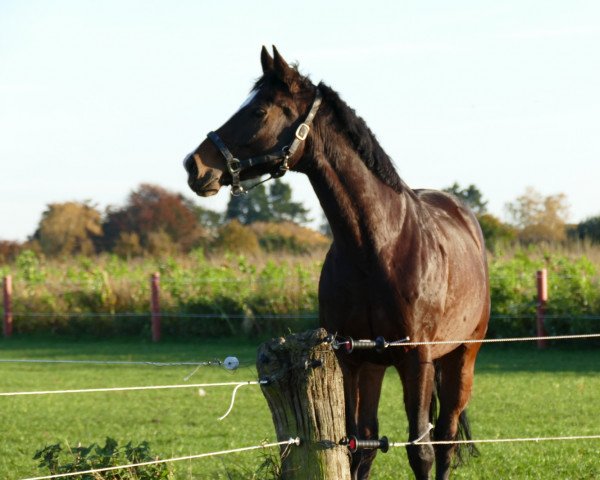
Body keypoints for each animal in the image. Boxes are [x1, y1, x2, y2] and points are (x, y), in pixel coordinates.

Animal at [184, 46, 492, 480]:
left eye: (258, 111)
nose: (195, 165)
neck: (377, 248)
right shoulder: (350, 359)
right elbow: (355, 444)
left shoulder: (416, 360)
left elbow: (421, 451)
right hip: (378, 365)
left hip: (461, 357)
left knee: (446, 438)